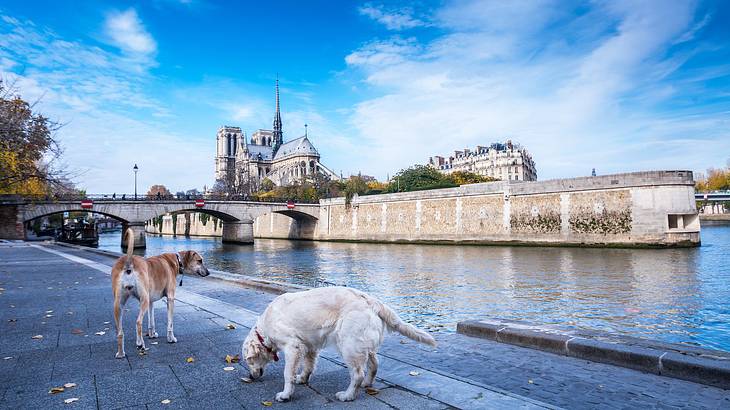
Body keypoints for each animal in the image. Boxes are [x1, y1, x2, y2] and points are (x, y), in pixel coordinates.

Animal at [111, 229, 209, 358]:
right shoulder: (170, 299)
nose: (208, 272)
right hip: (143, 300)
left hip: (119, 305)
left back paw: (121, 353)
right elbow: (170, 323)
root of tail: (128, 261)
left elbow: (151, 320)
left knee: (120, 332)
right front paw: (171, 338)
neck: (176, 261)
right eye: (200, 261)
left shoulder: (151, 301)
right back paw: (140, 344)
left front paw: (152, 334)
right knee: (138, 322)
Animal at [242, 286, 436, 402]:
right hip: (364, 345)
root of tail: (371, 300)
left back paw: (348, 395)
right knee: (374, 364)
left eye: (249, 360)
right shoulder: (309, 346)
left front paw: (285, 394)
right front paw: (302, 379)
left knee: (357, 374)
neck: (265, 329)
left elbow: (287, 373)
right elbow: (308, 365)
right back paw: (367, 384)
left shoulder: (293, 346)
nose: (250, 376)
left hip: (349, 345)